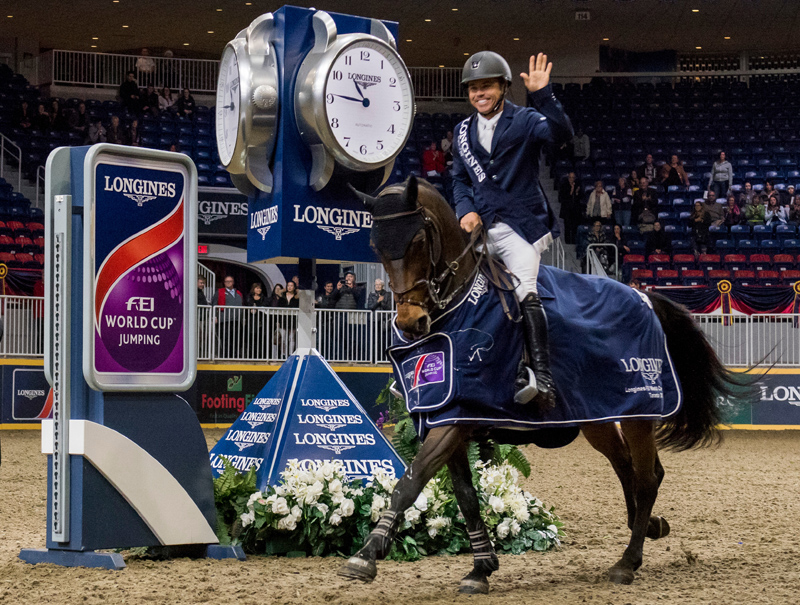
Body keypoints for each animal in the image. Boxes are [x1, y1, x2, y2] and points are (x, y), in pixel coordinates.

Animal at [340, 176, 752, 596]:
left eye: (418, 241)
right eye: (375, 246)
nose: (410, 323)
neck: (460, 307)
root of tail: (644, 296)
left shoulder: (457, 419)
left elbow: (411, 482)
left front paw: (366, 555)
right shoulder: (445, 414)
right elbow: (465, 495)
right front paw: (481, 568)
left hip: (639, 410)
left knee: (647, 478)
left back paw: (628, 562)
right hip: (597, 417)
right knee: (629, 468)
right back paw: (649, 526)